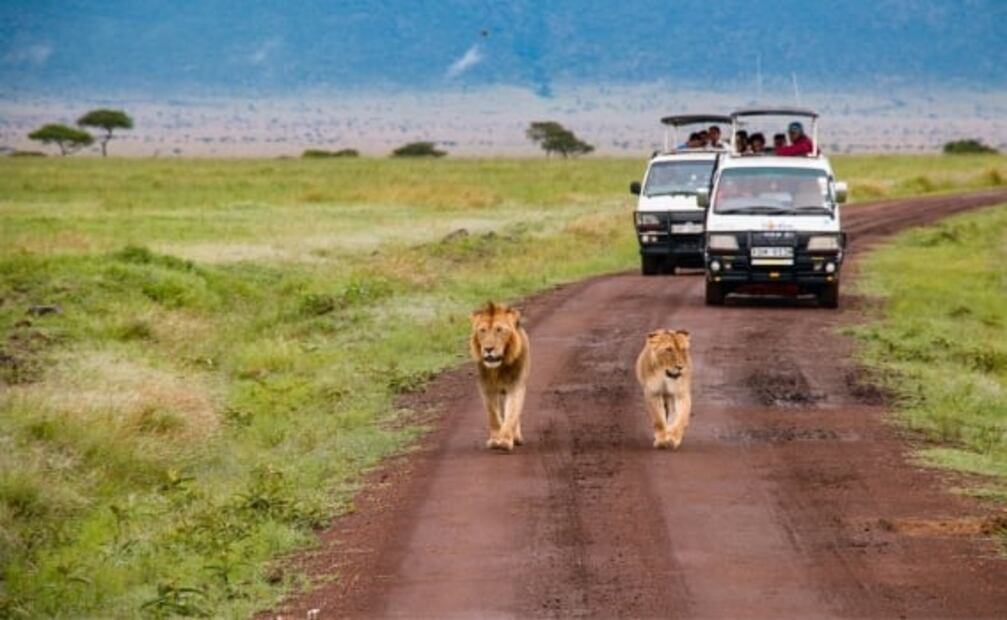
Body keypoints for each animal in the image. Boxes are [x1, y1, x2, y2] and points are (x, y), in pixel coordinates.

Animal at [469, 301, 531, 452]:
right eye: (482, 330)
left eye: (499, 330)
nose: (488, 349)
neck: (498, 369)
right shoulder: (487, 389)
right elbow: (493, 416)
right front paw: (495, 439)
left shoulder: (515, 387)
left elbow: (512, 414)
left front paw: (505, 440)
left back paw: (516, 437)